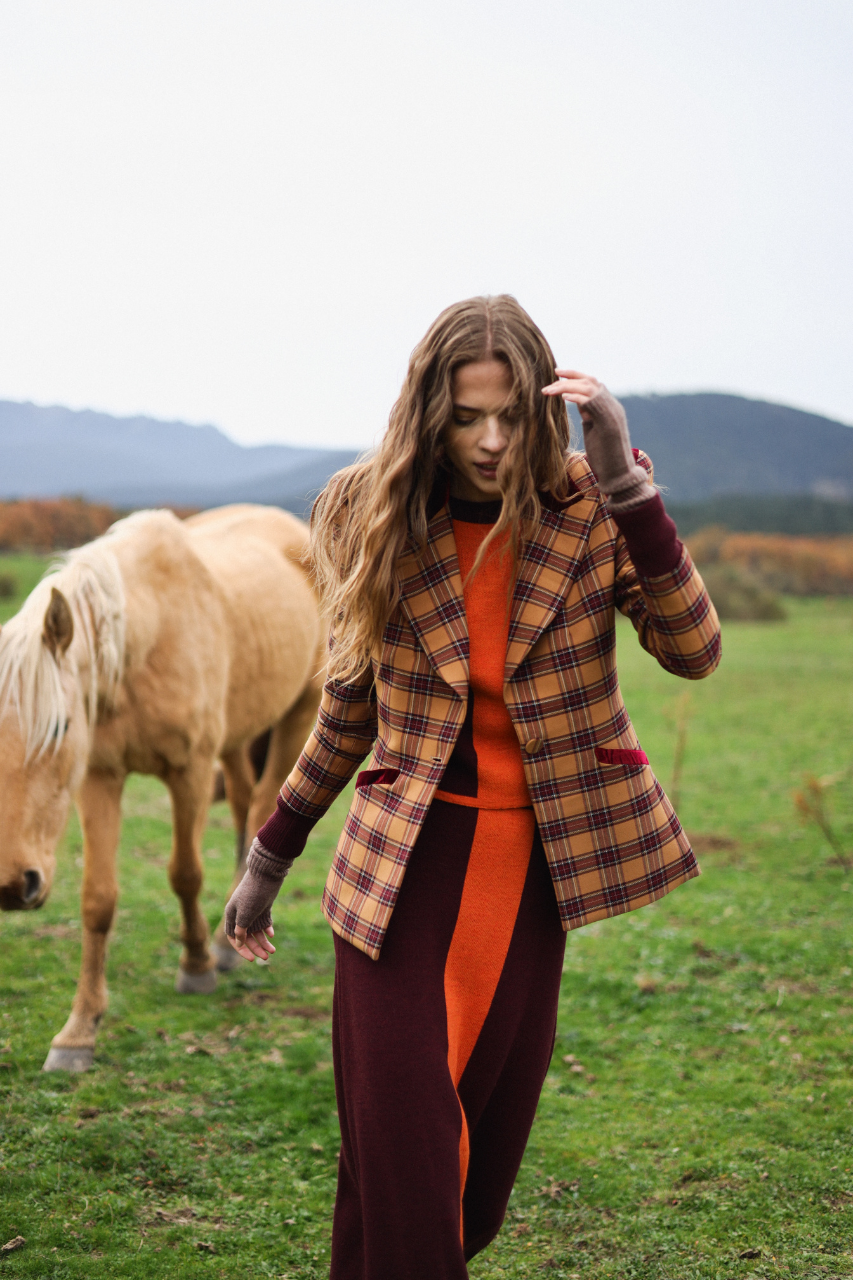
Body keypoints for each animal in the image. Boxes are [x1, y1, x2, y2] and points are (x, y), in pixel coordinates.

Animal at [0, 501, 322, 1070]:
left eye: (58, 727)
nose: (14, 886)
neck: (147, 638)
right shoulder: (100, 777)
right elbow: (97, 899)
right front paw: (78, 1032)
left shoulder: (189, 772)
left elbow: (185, 874)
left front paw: (196, 966)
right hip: (238, 735)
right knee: (243, 805)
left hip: (298, 715)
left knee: (263, 806)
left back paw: (222, 946)